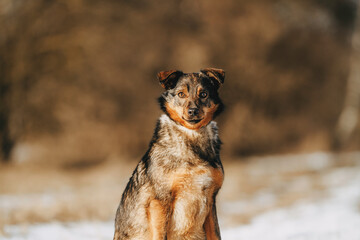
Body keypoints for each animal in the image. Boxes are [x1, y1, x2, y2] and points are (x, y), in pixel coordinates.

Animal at [113, 68, 225, 240]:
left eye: (203, 94)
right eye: (181, 94)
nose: (193, 111)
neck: (192, 137)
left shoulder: (211, 200)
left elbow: (216, 235)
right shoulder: (160, 200)